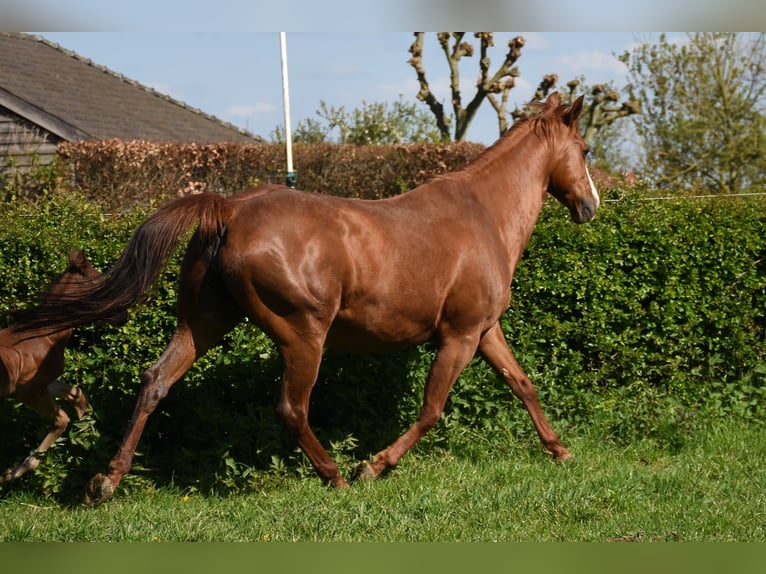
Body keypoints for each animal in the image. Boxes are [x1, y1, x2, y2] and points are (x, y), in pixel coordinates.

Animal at [1, 249, 103, 483]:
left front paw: (84, 433)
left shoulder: (39, 383)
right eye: (100, 281)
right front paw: (14, 471)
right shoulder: (27, 391)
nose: (125, 315)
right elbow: (61, 420)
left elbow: (76, 394)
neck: (44, 334)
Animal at [14, 92, 600, 506]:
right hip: (302, 334)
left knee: (156, 380)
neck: (482, 213)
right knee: (291, 408)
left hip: (204, 321)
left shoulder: (484, 330)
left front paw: (560, 450)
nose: (591, 206)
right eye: (586, 150)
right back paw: (335, 476)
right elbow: (432, 410)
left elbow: (522, 384)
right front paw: (372, 467)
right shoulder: (458, 334)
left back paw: (106, 482)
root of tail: (228, 209)